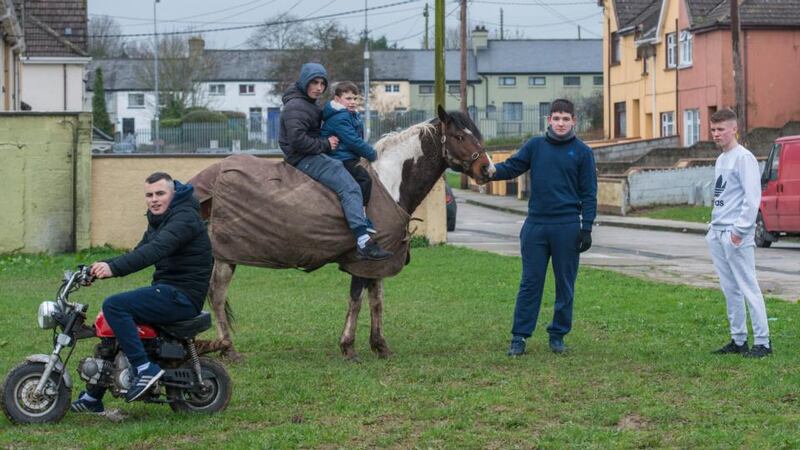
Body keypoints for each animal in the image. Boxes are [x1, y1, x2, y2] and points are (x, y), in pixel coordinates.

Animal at [197, 106, 490, 362]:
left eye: (476, 135)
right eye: (459, 137)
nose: (486, 169)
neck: (389, 182)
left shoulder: (379, 260)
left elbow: (377, 300)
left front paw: (380, 346)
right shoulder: (362, 260)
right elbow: (357, 300)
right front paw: (348, 347)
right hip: (225, 257)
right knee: (218, 296)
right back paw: (228, 348)